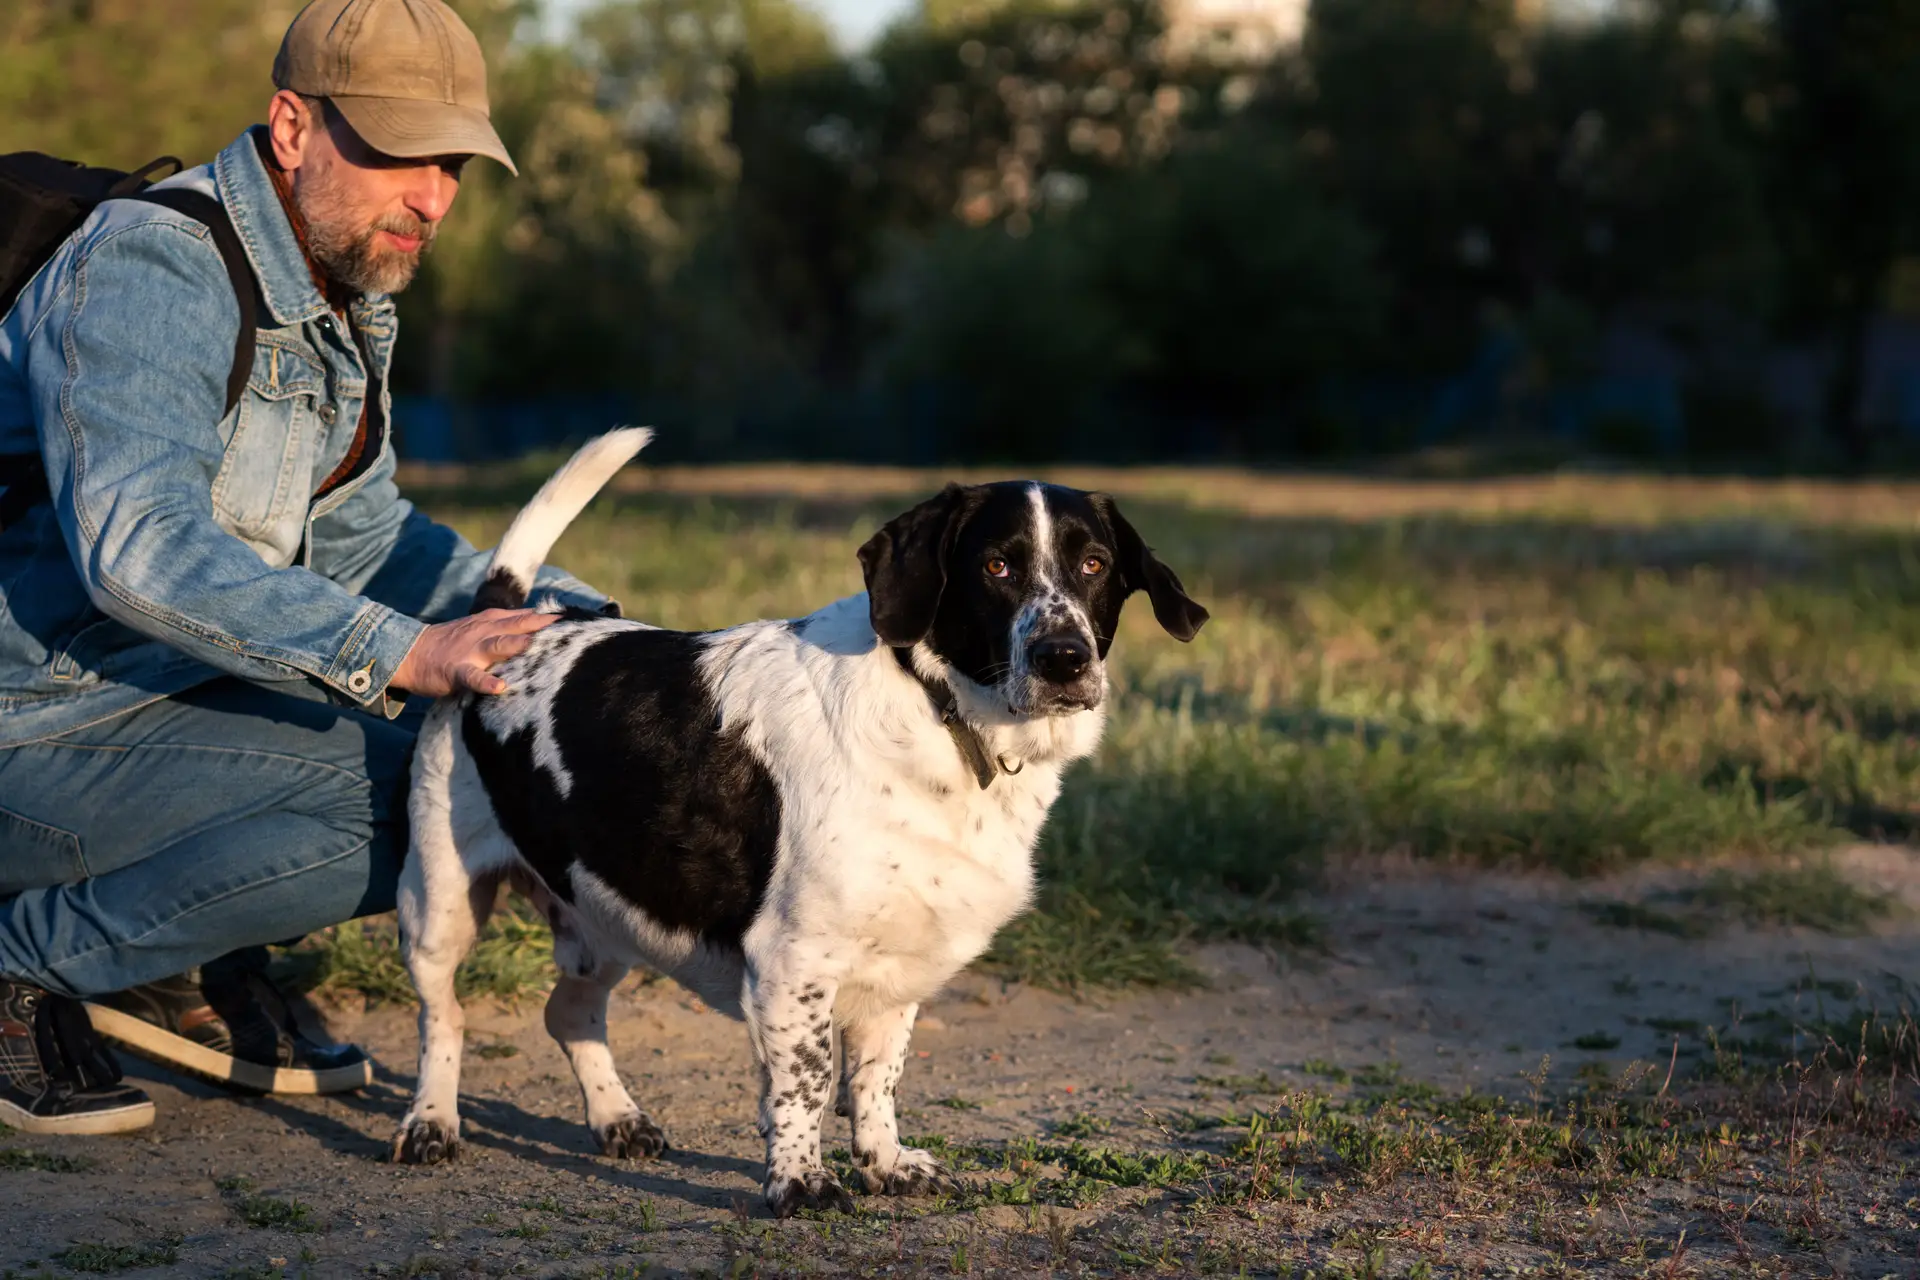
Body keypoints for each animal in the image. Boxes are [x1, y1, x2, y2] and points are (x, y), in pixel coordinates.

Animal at [393, 426, 1198, 1220]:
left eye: (1094, 564)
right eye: (996, 565)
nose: (1065, 658)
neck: (939, 708)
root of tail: (506, 617)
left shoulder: (898, 963)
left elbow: (877, 1076)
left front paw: (884, 1164)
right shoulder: (794, 960)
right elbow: (806, 1081)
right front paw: (801, 1181)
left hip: (602, 912)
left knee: (570, 1012)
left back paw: (616, 1117)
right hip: (439, 904)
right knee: (442, 1017)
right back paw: (431, 1124)